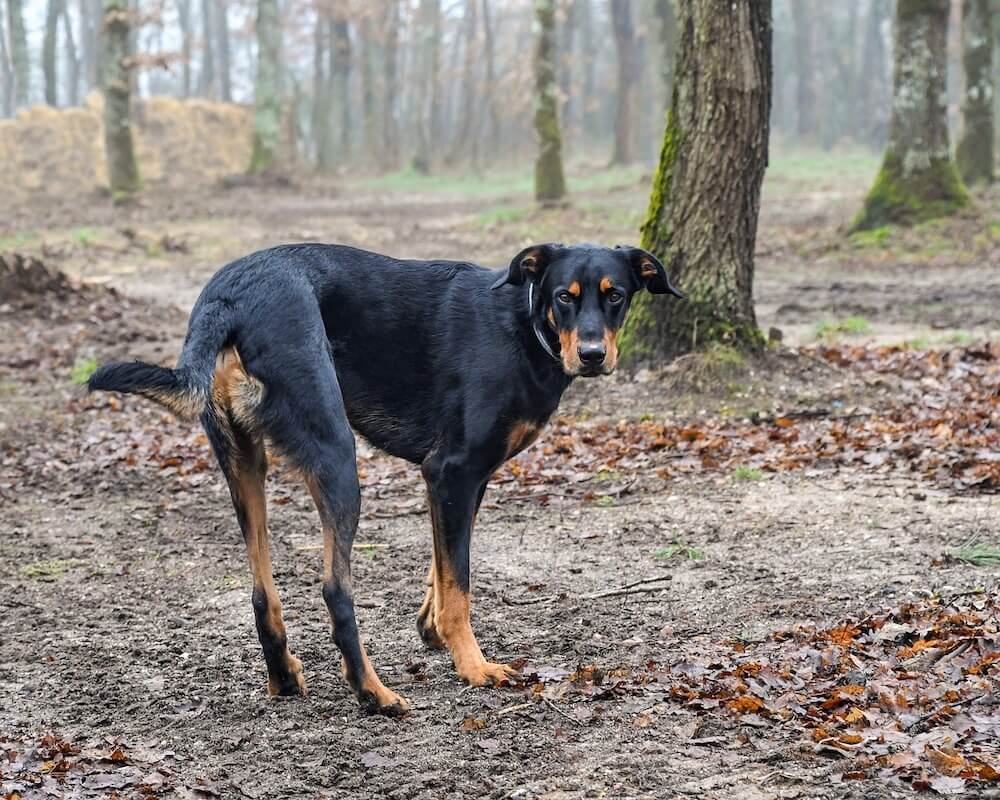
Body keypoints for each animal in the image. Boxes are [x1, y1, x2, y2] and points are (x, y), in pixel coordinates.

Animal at [90, 241, 684, 716]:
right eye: (564, 296)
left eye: (615, 295)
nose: (592, 355)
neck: (523, 324)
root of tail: (228, 297)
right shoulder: (452, 470)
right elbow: (460, 581)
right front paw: (472, 665)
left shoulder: (462, 482)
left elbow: (443, 568)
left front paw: (432, 626)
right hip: (336, 455)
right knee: (335, 589)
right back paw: (373, 693)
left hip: (242, 461)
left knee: (261, 592)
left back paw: (284, 676)